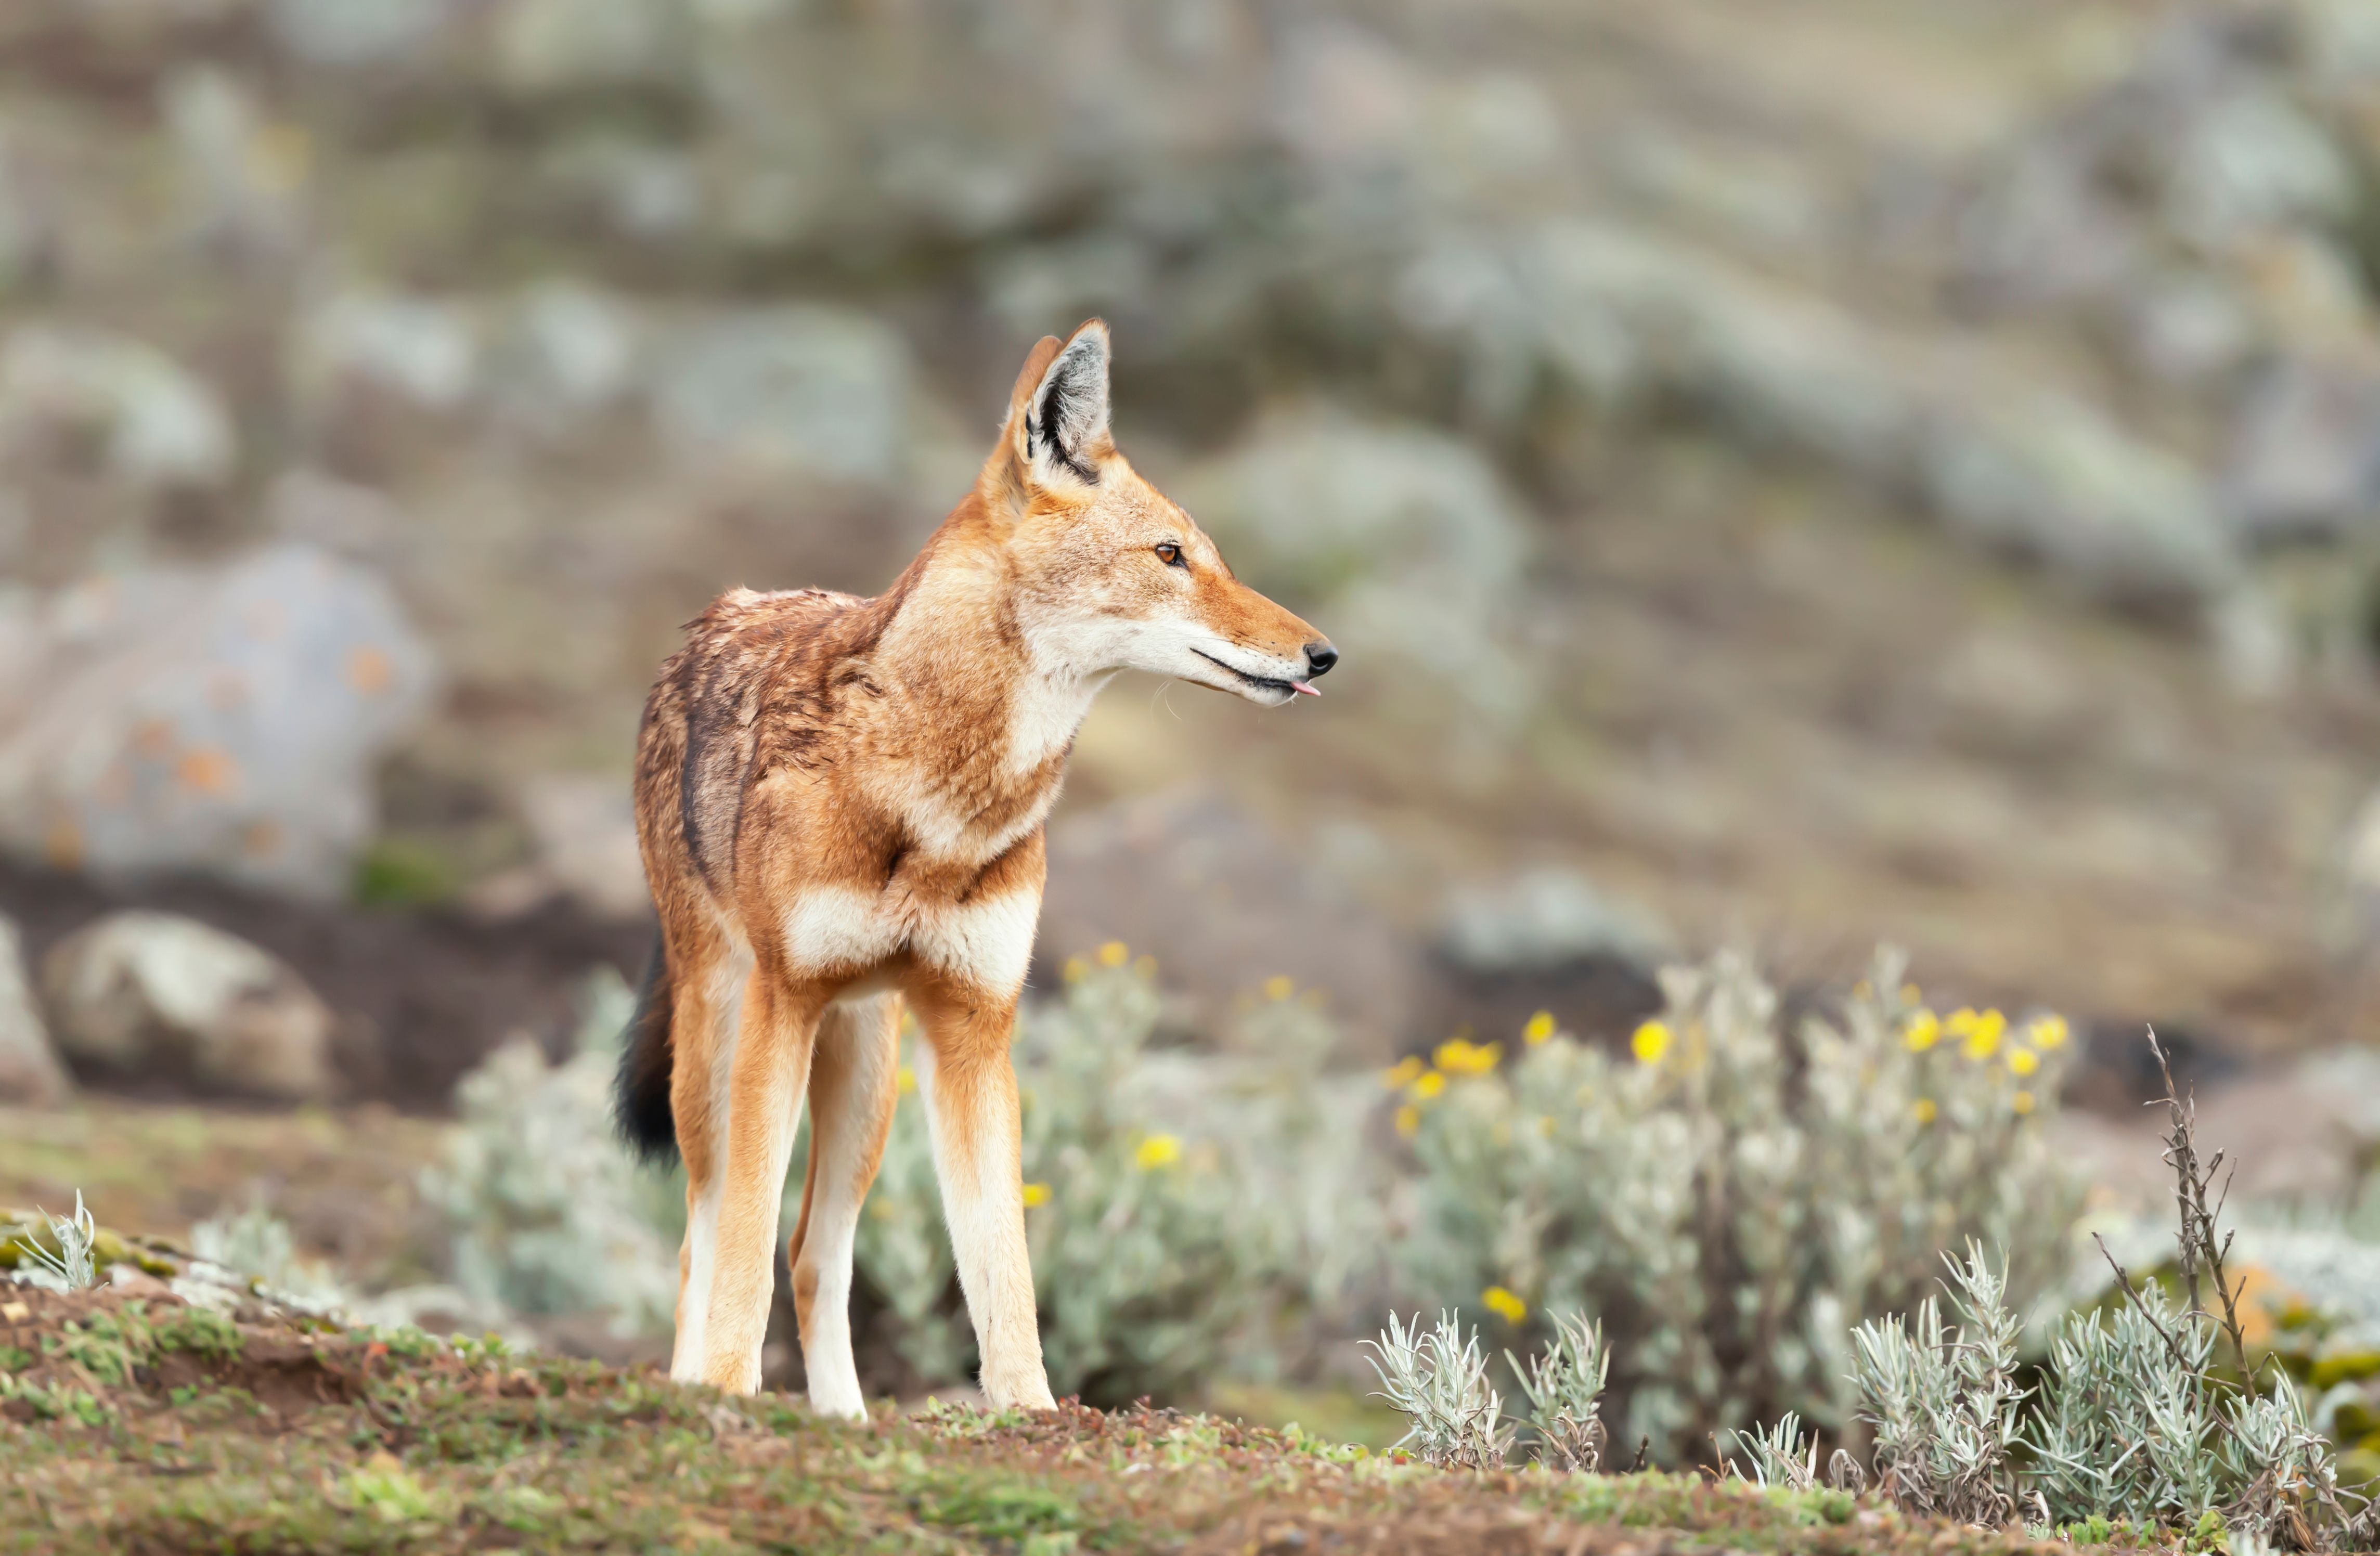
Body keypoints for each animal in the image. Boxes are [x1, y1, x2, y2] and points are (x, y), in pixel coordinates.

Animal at [614, 323, 1342, 1418]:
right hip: (720, 1043)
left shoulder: (975, 1029)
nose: (1323, 654)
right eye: (1170, 556)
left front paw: (1031, 1413)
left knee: (815, 1253)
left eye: (1211, 556)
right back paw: (699, 1384)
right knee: (707, 1233)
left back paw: (846, 1419)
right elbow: (742, 1243)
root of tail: (722, 611)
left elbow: (1004, 1270)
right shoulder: (787, 1004)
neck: (942, 804)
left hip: (868, 1078)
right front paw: (733, 1396)